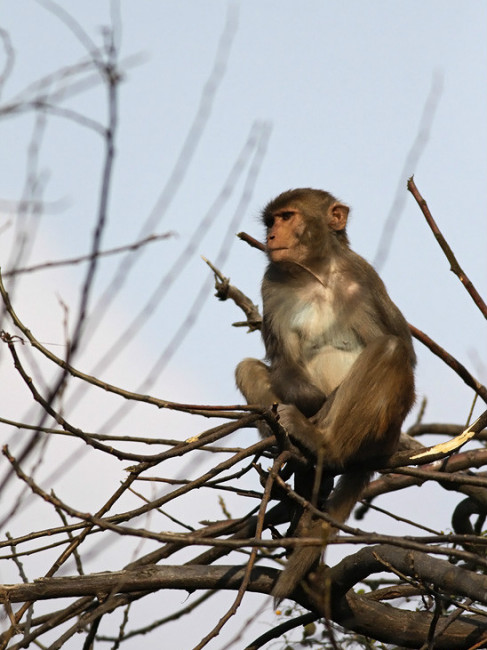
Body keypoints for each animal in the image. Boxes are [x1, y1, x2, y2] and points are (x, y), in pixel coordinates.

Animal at [235, 188, 416, 599]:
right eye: (271, 221)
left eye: (287, 217)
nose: (271, 236)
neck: (316, 276)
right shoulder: (273, 283)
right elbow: (282, 361)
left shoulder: (362, 277)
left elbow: (403, 348)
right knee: (249, 368)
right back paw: (290, 446)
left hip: (381, 430)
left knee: (389, 349)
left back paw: (322, 443)